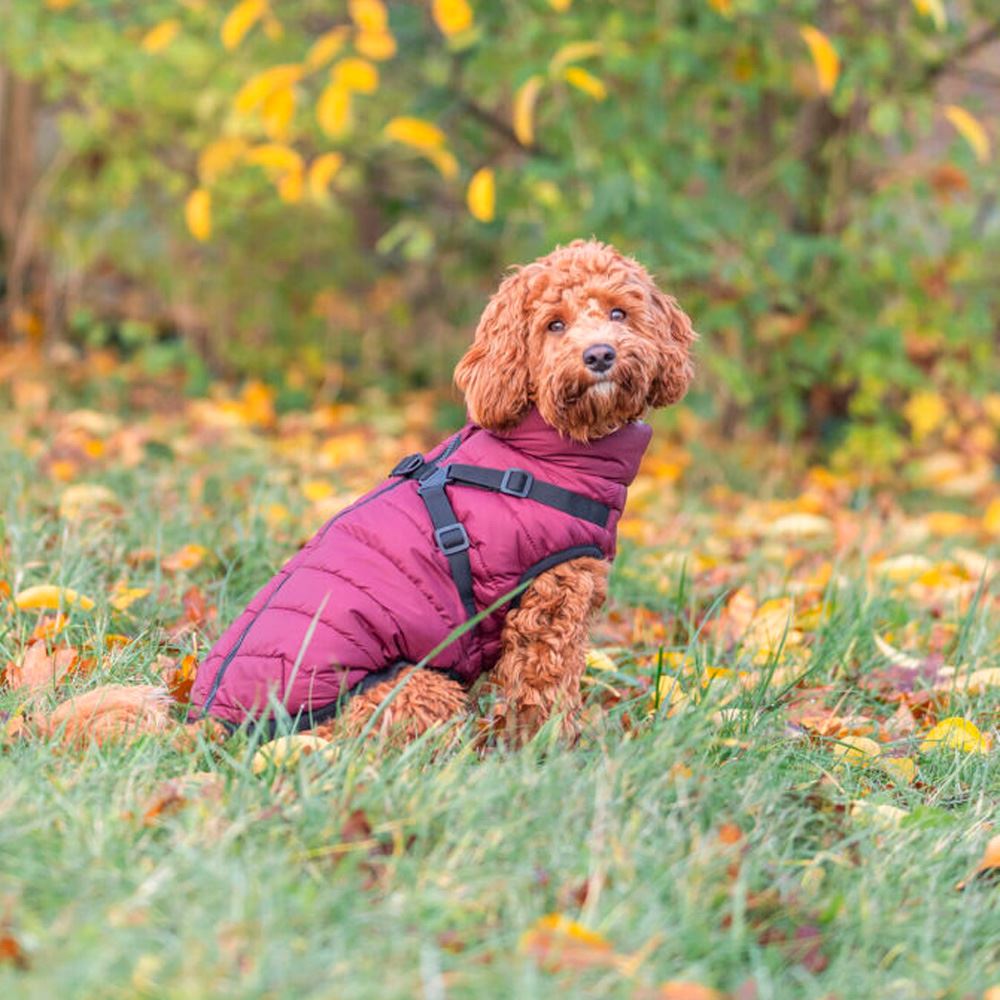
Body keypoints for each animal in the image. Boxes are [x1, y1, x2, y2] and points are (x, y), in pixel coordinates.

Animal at [45, 238, 696, 748]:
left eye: (619, 313)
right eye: (554, 324)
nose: (600, 354)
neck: (543, 447)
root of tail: (212, 725)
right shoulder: (550, 607)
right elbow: (544, 696)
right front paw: (550, 758)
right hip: (413, 689)